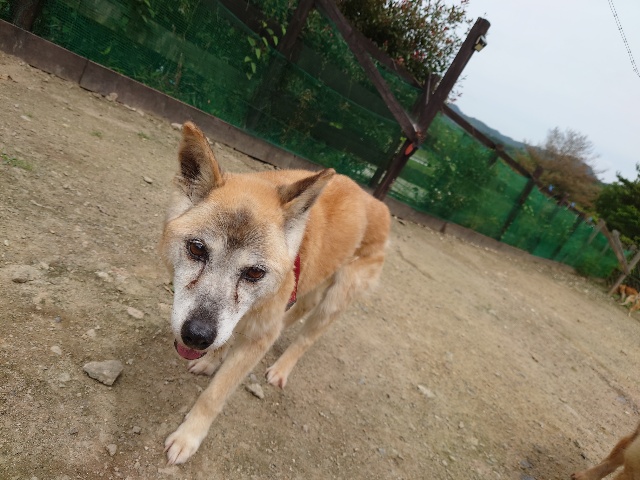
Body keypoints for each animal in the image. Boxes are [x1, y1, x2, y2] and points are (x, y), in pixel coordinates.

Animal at [159, 122, 391, 464]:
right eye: (197, 248)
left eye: (255, 272)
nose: (197, 336)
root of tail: (378, 204)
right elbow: (228, 340)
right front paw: (213, 359)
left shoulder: (257, 334)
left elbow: (214, 396)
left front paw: (188, 437)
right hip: (313, 282)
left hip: (336, 298)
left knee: (305, 337)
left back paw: (281, 369)